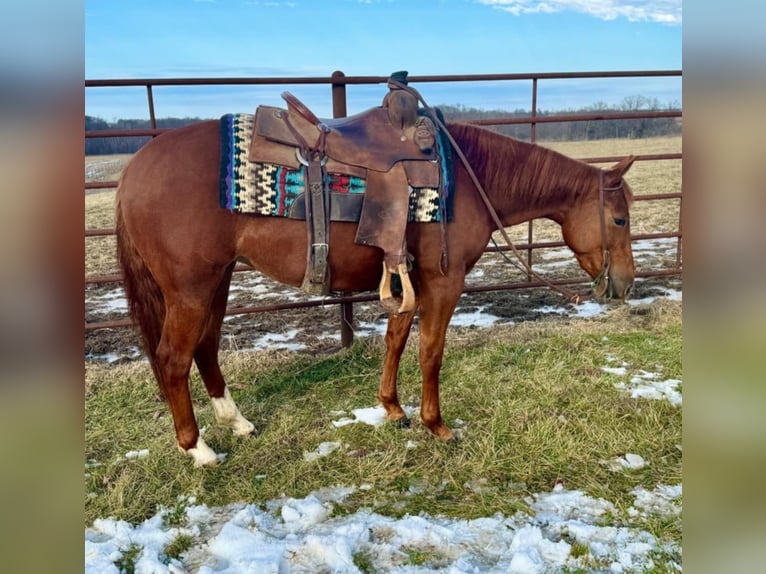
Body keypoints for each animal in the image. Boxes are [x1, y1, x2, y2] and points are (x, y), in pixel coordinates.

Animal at [115, 118, 636, 468]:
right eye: (619, 219)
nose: (626, 284)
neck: (469, 179)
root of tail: (134, 170)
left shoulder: (409, 277)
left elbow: (396, 339)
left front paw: (392, 408)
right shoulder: (445, 282)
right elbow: (430, 351)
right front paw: (436, 425)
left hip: (217, 281)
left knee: (205, 348)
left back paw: (236, 422)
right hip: (191, 288)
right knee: (173, 359)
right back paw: (198, 448)